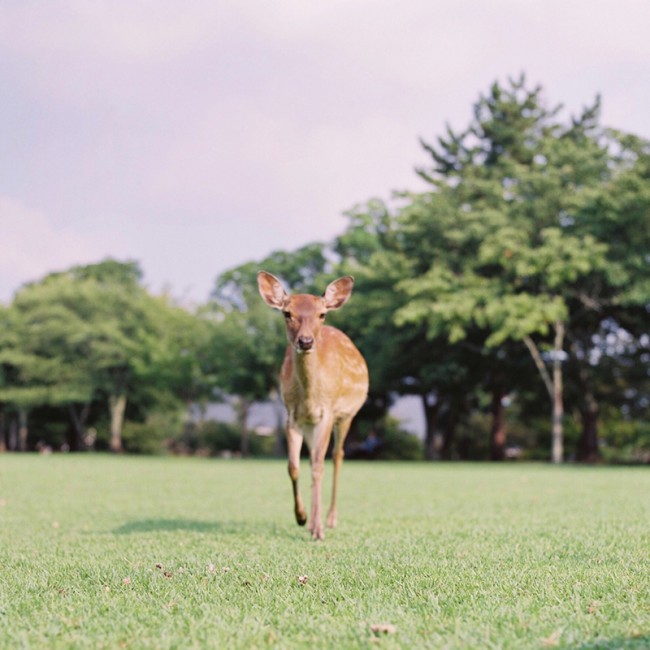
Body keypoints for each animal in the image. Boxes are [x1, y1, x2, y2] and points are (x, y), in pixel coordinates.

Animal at [257, 271, 369, 540]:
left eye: (322, 314)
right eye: (287, 313)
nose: (306, 341)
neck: (309, 396)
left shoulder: (327, 412)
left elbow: (319, 466)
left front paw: (318, 529)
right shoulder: (292, 415)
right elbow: (293, 466)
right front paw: (302, 517)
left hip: (346, 415)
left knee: (338, 456)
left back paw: (330, 519)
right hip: (310, 424)